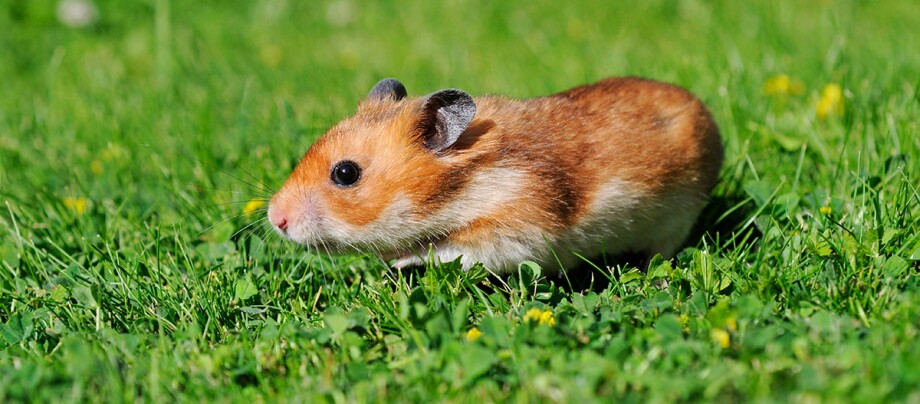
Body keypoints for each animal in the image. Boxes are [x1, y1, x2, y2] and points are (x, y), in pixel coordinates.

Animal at [267, 77, 723, 274]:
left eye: (346, 173)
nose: (275, 218)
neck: (463, 186)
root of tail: (706, 115)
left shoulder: (517, 229)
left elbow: (447, 249)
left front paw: (399, 260)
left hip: (678, 217)